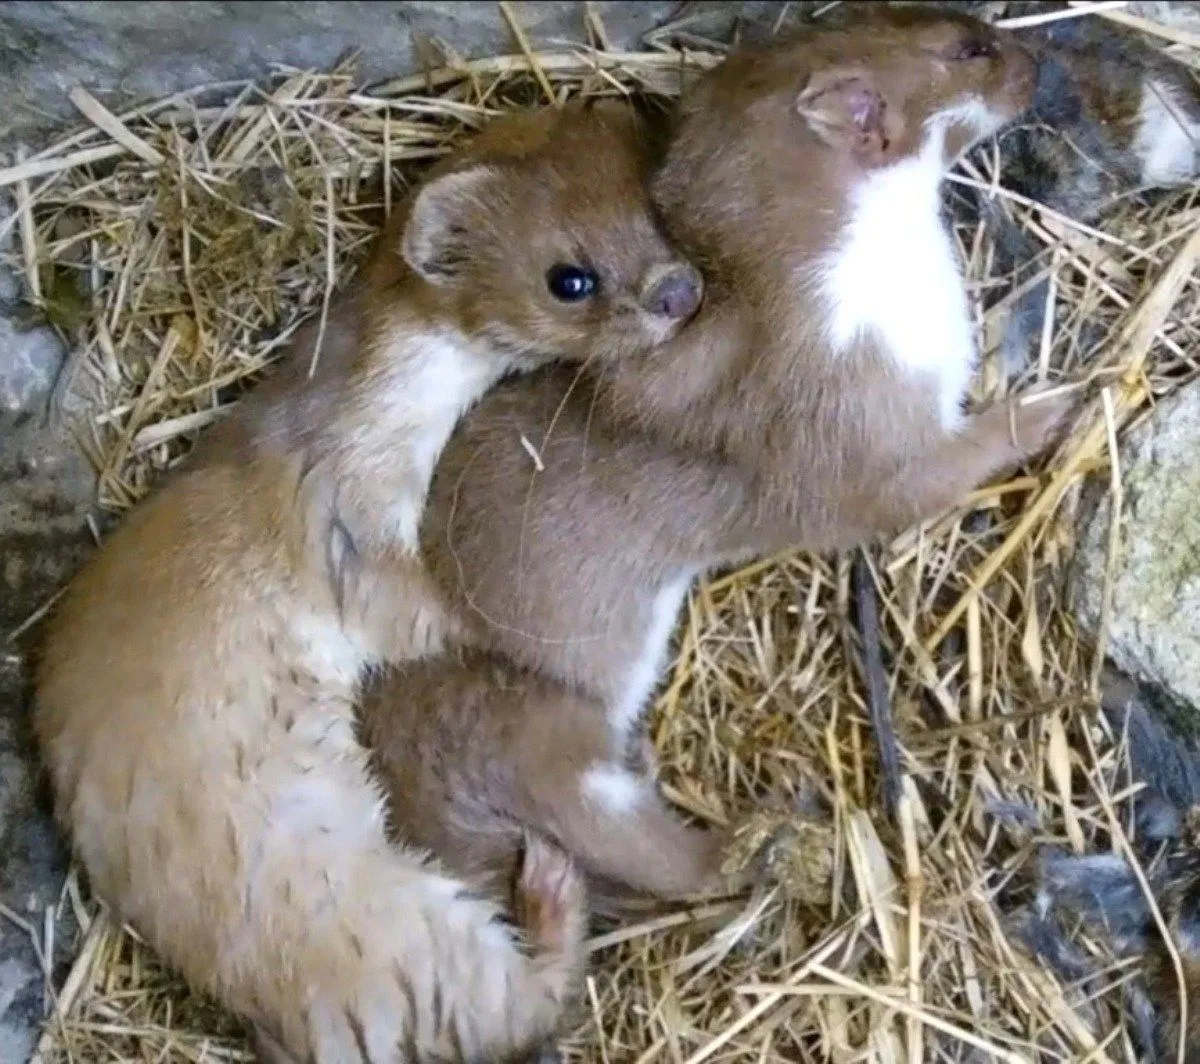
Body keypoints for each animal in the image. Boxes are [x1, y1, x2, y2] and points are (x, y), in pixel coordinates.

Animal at [32, 101, 700, 1064]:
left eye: (655, 208)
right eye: (568, 278)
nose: (680, 291)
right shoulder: (343, 516)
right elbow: (417, 611)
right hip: (390, 928)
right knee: (517, 1002)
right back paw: (551, 888)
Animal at [360, 8, 1075, 906]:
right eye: (969, 48)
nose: (1040, 55)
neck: (896, 291)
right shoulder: (849, 429)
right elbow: (921, 479)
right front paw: (1056, 404)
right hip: (528, 724)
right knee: (641, 848)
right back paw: (764, 843)